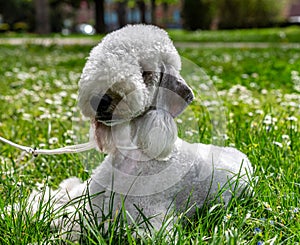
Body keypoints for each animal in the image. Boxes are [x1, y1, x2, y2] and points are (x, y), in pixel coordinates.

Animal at [28, 24, 253, 239]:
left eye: (146, 74)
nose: (100, 100)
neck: (131, 158)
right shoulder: (92, 196)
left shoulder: (148, 221)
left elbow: (84, 224)